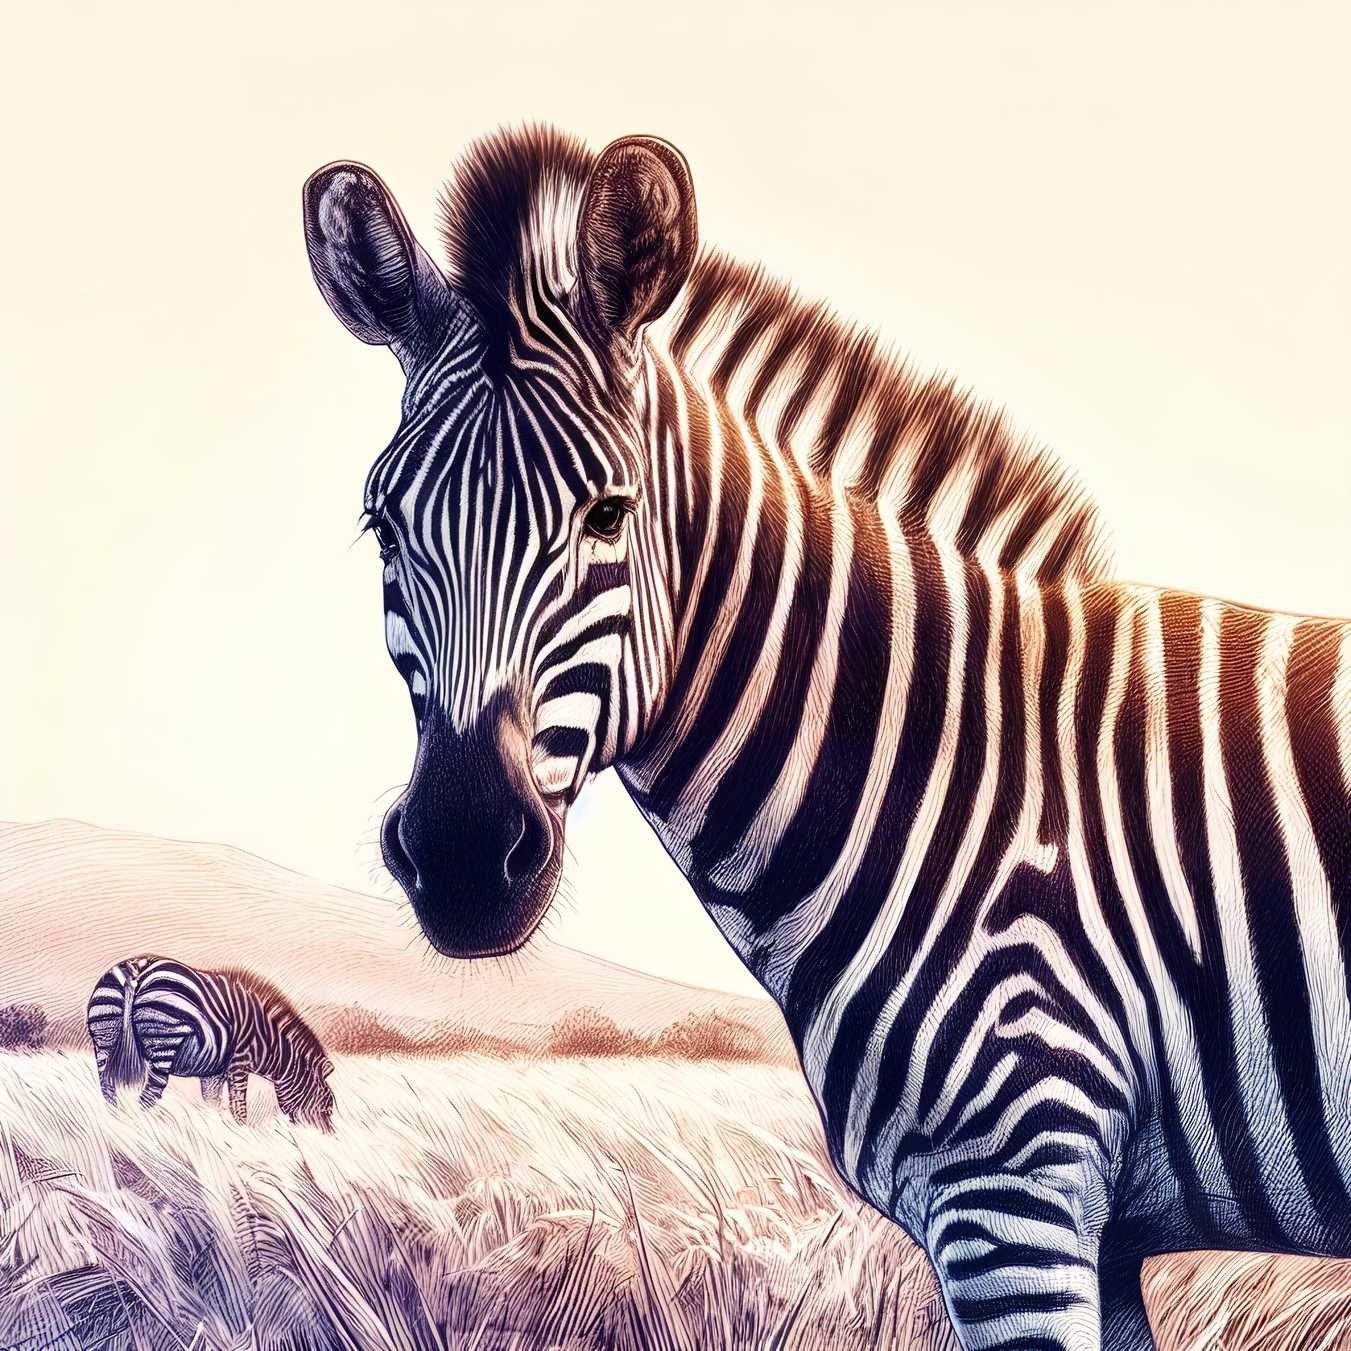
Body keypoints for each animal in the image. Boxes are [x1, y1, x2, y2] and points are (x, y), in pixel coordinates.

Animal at [86, 955, 336, 1131]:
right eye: (328, 1105)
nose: (326, 1140)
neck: (269, 1041)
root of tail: (136, 971)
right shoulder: (238, 1062)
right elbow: (238, 1107)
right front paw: (243, 1139)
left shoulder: (213, 1070)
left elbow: (212, 1102)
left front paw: (216, 1133)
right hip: (163, 1042)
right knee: (148, 1097)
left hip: (104, 1038)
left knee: (107, 1090)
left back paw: (117, 1126)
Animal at [301, 125, 1351, 1349]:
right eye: (384, 523)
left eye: (607, 513)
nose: (463, 856)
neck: (947, 769)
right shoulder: (1104, 1226)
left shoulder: (1012, 1195)